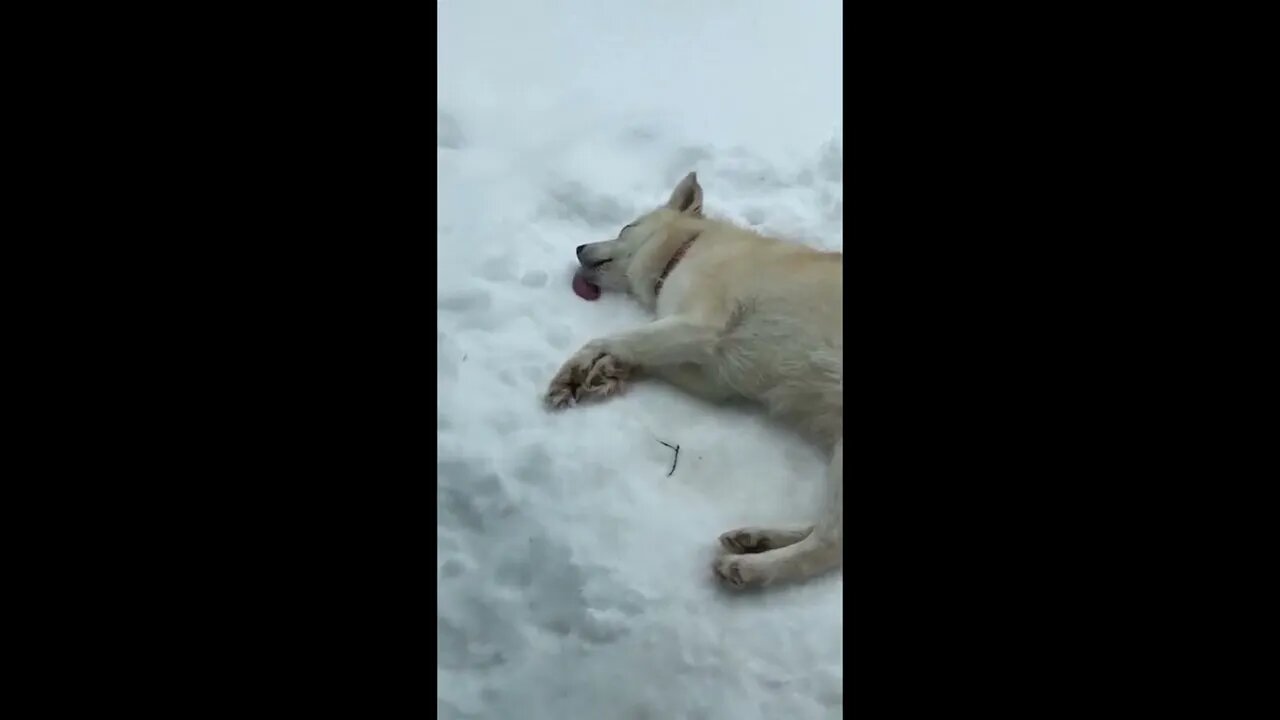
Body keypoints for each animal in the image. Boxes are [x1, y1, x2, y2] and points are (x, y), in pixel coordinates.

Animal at [547, 174, 839, 589]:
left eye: (626, 228)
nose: (579, 247)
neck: (686, 250)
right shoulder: (713, 376)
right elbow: (642, 355)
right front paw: (608, 375)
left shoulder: (699, 325)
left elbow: (610, 339)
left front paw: (577, 371)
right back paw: (756, 539)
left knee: (829, 545)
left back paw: (750, 568)